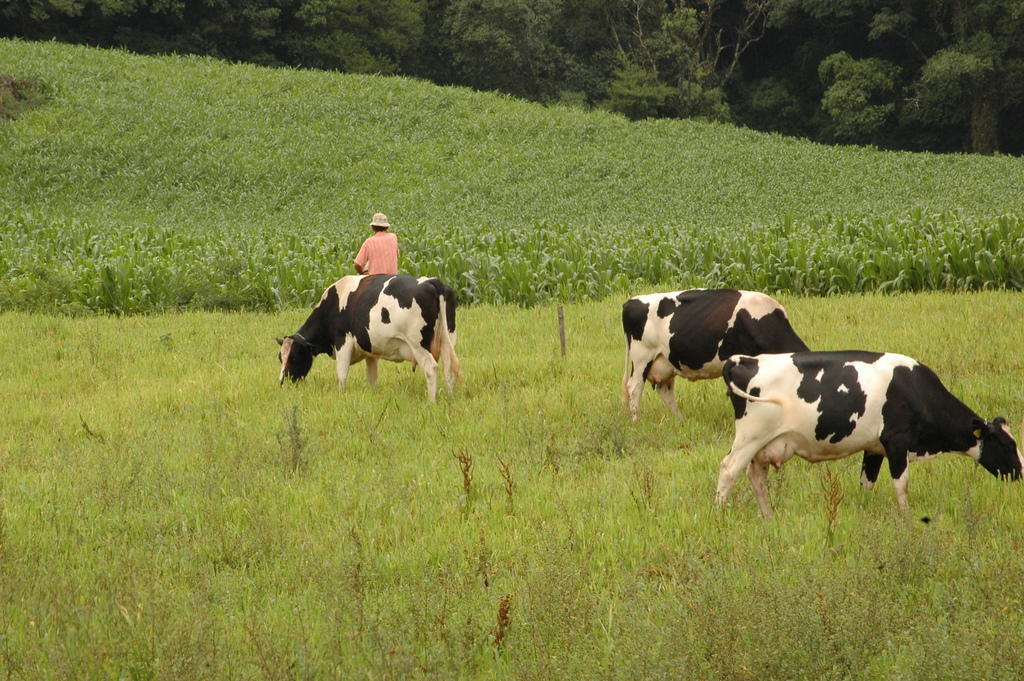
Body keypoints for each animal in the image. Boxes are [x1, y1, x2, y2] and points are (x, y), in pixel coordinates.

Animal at [274, 274, 462, 401]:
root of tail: (432, 281)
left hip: (418, 345)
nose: (283, 382)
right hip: (448, 340)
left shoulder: (342, 341)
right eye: (281, 358)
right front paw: (373, 393)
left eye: (295, 357)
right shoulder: (371, 350)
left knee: (431, 368)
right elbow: (372, 376)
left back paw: (432, 401)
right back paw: (450, 396)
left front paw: (341, 395)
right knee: (449, 368)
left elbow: (341, 375)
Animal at [622, 286, 806, 419]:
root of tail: (630, 302)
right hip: (642, 358)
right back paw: (636, 420)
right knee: (634, 387)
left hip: (665, 362)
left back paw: (680, 420)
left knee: (665, 391)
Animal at [716, 350, 1019, 516]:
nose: (1021, 471)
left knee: (756, 478)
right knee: (728, 470)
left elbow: (866, 483)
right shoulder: (897, 442)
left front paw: (864, 511)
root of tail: (746, 359)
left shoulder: (875, 449)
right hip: (751, 435)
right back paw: (718, 514)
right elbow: (901, 484)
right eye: (1006, 444)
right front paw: (906, 518)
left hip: (762, 445)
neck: (916, 390)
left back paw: (768, 516)